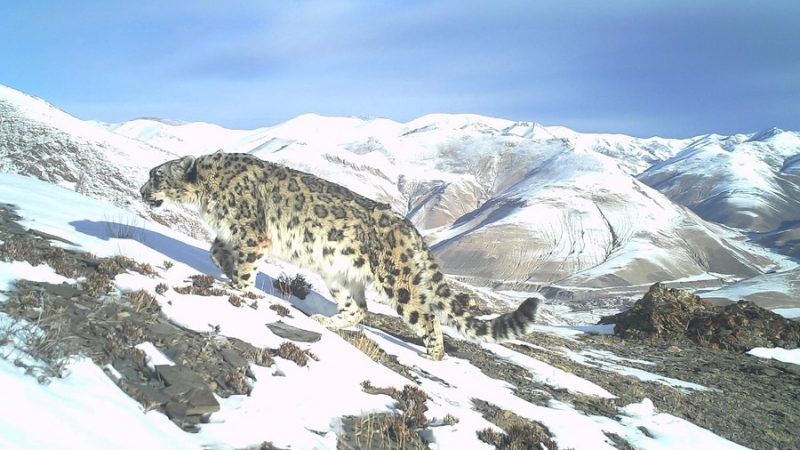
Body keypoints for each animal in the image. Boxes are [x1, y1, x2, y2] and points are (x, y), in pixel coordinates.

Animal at [140, 151, 539, 360]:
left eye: (156, 176)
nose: (142, 191)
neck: (207, 196)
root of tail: (410, 228)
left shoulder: (252, 233)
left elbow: (244, 266)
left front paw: (238, 288)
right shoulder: (233, 232)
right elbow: (216, 248)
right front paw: (224, 267)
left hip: (398, 281)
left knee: (426, 316)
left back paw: (434, 355)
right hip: (339, 274)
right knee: (358, 309)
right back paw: (323, 322)